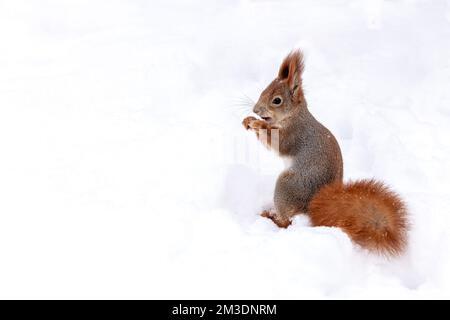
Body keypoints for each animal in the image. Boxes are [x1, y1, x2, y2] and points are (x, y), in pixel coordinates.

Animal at [243, 49, 408, 255]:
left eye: (277, 100)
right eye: (263, 91)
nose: (255, 110)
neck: (295, 115)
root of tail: (313, 205)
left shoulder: (294, 135)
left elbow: (277, 143)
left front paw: (257, 123)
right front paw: (248, 120)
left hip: (288, 185)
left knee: (286, 222)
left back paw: (270, 216)